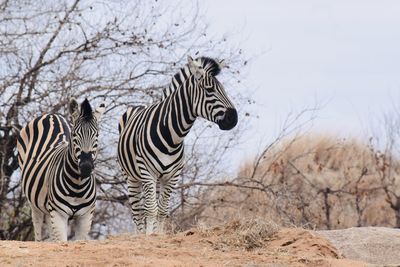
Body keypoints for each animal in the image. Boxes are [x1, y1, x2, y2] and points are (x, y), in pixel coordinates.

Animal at [17, 99, 104, 243]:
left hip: (48, 207)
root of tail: (51, 115)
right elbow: (62, 241)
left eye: (97, 135)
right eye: (74, 135)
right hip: (34, 202)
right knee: (37, 224)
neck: (77, 186)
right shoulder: (58, 214)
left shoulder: (86, 217)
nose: (86, 167)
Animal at [118, 56, 238, 234]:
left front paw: (159, 235)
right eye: (209, 90)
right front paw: (148, 237)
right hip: (131, 176)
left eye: (223, 89)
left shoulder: (172, 176)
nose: (234, 118)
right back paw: (140, 234)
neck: (171, 137)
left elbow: (162, 210)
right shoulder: (147, 172)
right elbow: (150, 210)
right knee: (138, 211)